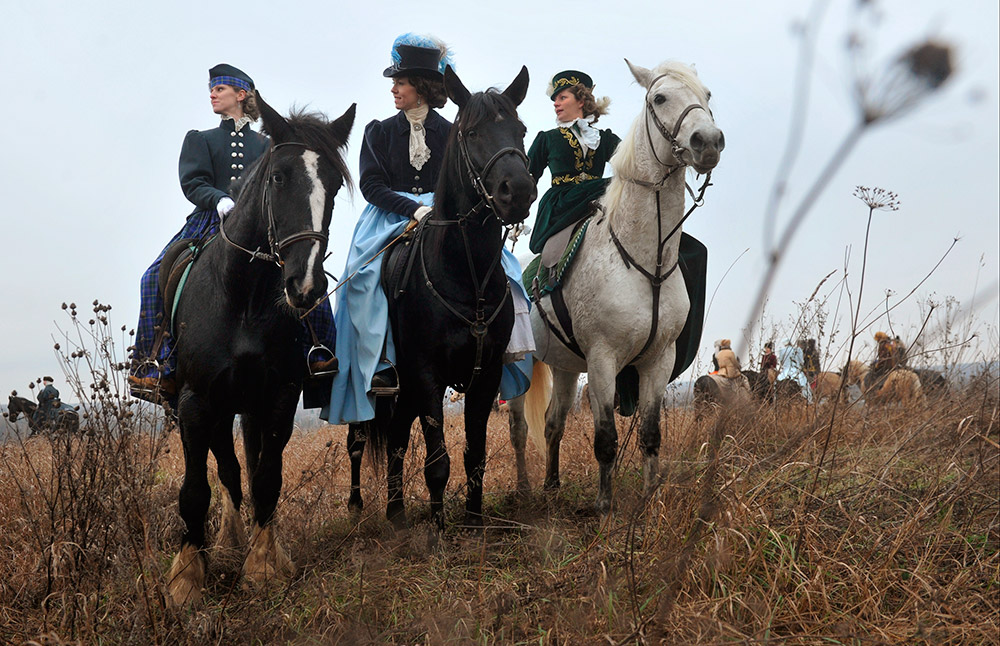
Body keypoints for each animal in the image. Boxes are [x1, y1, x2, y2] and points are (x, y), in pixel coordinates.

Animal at [161, 95, 356, 608]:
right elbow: (197, 490)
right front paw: (186, 578)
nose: (305, 286)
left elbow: (267, 480)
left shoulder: (279, 398)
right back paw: (228, 541)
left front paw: (265, 565)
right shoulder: (196, 403)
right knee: (228, 473)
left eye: (333, 185)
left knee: (244, 470)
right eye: (278, 177)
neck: (244, 299)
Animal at [512, 62, 724, 516]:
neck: (646, 260)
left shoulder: (658, 361)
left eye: (707, 95)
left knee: (553, 423)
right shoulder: (603, 359)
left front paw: (649, 499)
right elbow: (606, 439)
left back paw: (551, 485)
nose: (708, 142)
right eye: (659, 98)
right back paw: (522, 489)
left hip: (564, 365)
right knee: (519, 426)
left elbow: (650, 434)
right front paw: (604, 506)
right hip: (520, 364)